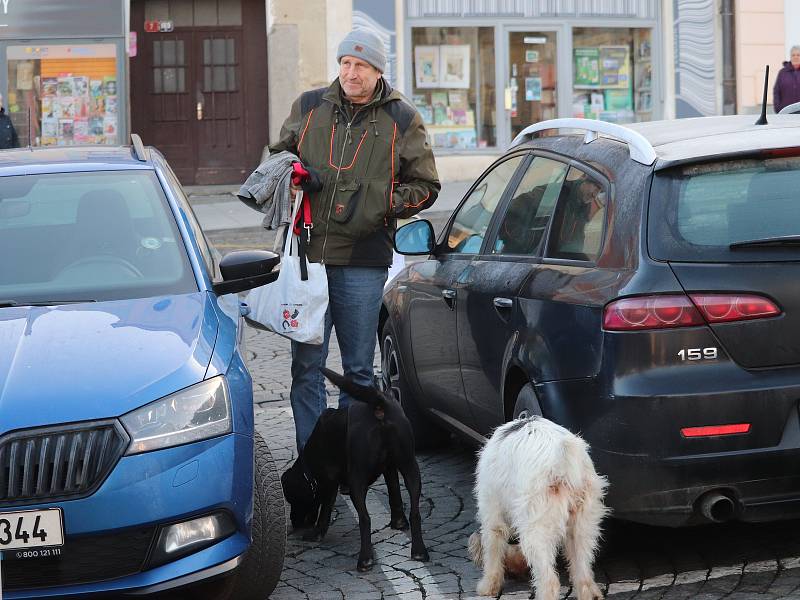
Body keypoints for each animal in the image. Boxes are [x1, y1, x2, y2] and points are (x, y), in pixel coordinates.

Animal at [282, 366, 432, 572]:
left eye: (292, 498)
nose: (294, 523)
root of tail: (378, 401)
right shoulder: (390, 468)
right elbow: (394, 494)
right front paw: (399, 523)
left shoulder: (329, 482)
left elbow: (325, 511)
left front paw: (316, 533)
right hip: (410, 466)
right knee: (415, 512)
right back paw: (419, 551)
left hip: (357, 479)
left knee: (365, 518)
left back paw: (365, 559)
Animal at [468, 418, 608, 600]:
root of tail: (561, 464)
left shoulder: (492, 513)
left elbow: (493, 548)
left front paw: (488, 586)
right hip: (583, 525)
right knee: (583, 573)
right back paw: (589, 594)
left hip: (537, 530)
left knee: (550, 582)